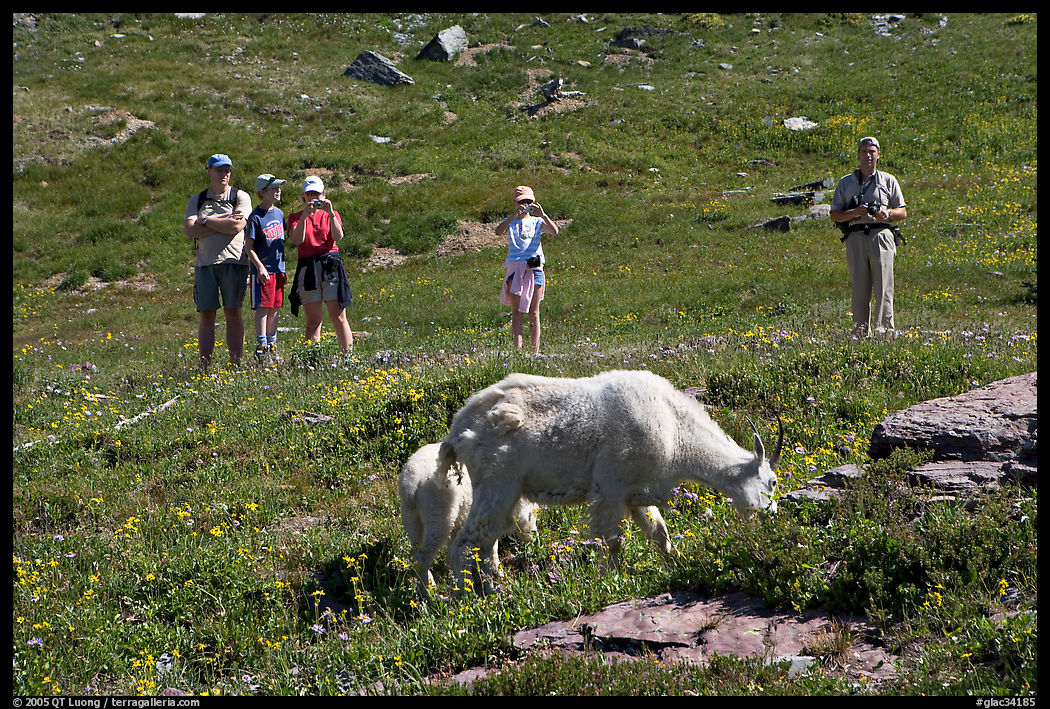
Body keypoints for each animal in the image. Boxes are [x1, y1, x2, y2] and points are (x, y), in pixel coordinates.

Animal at [398, 442, 538, 597]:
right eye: (534, 514)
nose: (535, 539)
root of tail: (411, 484)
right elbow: (490, 549)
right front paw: (496, 574)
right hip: (439, 514)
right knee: (425, 556)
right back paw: (429, 593)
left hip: (410, 516)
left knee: (416, 552)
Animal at [438, 370, 782, 592]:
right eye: (772, 482)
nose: (772, 517)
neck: (675, 430)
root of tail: (458, 429)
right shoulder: (611, 487)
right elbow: (611, 540)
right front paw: (609, 582)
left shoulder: (634, 493)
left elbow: (659, 533)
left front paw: (675, 566)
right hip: (497, 482)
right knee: (466, 543)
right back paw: (470, 598)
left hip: (505, 490)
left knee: (486, 541)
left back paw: (496, 585)